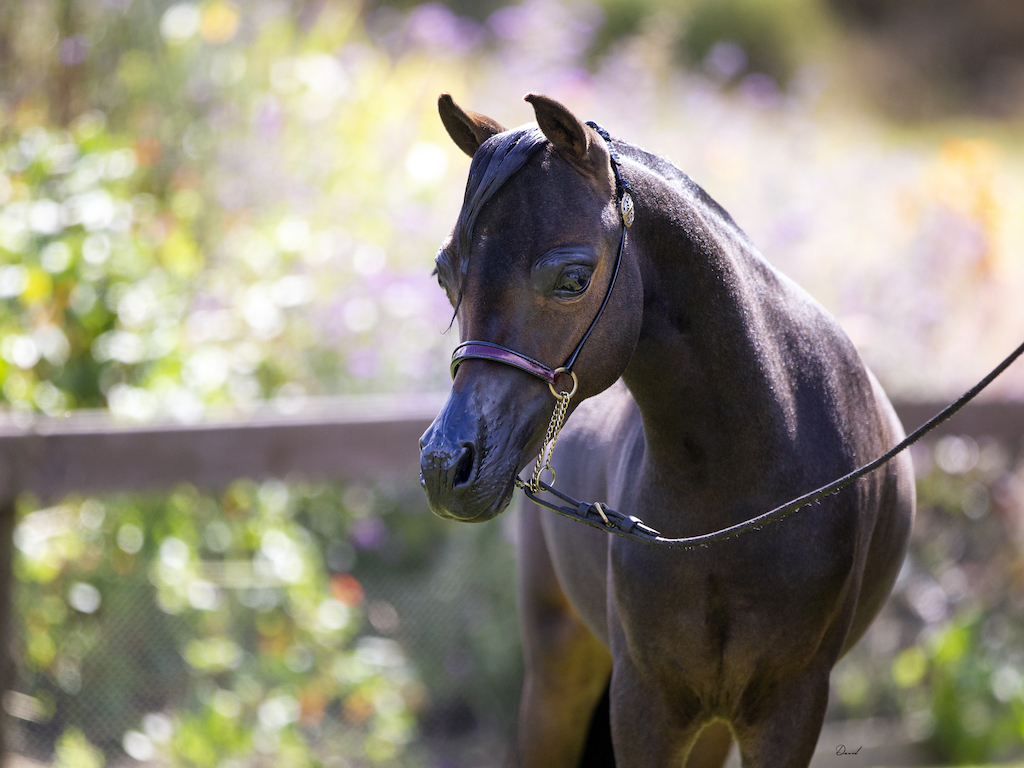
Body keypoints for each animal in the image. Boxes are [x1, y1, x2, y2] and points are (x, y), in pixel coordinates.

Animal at [418, 92, 915, 768]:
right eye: (446, 275)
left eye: (573, 278)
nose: (446, 466)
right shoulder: (644, 702)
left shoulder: (790, 708)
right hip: (558, 674)